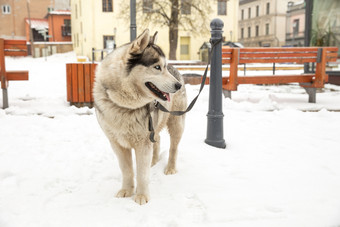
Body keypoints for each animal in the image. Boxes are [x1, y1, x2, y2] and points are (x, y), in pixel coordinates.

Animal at [93, 29, 187, 205]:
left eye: (163, 67)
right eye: (157, 67)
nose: (178, 85)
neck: (124, 106)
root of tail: (176, 69)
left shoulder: (142, 143)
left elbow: (142, 174)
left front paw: (142, 196)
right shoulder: (117, 144)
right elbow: (127, 170)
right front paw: (126, 190)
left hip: (176, 124)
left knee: (173, 148)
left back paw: (170, 167)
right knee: (157, 140)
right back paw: (154, 161)